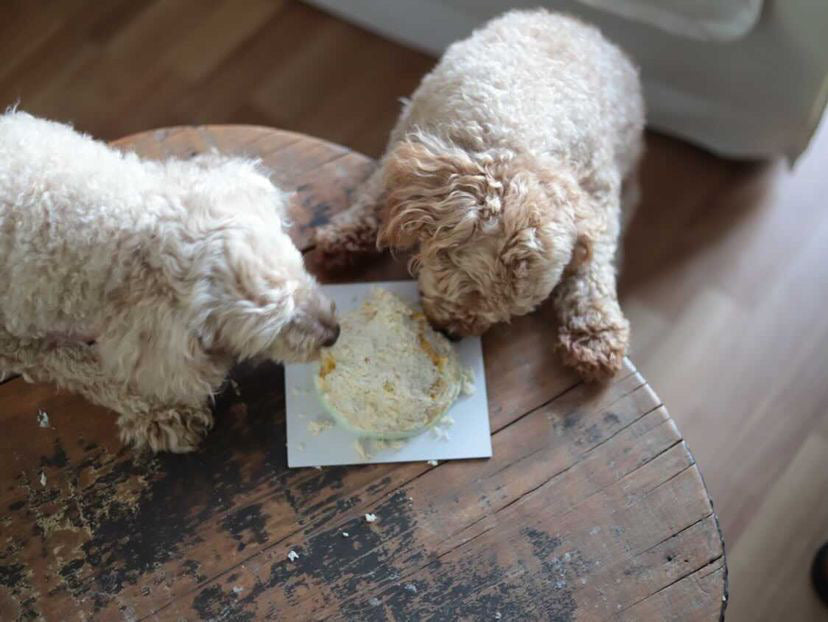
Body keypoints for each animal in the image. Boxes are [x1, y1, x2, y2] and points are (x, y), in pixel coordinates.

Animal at [0, 112, 338, 454]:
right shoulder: (15, 340)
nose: (335, 333)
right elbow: (83, 368)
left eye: (301, 271)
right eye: (275, 330)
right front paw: (159, 412)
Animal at [316, 11, 648, 380]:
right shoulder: (408, 132)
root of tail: (573, 21)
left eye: (511, 312)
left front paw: (595, 332)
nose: (452, 333)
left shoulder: (598, 195)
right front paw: (346, 236)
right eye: (468, 282)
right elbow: (379, 190)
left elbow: (593, 267)